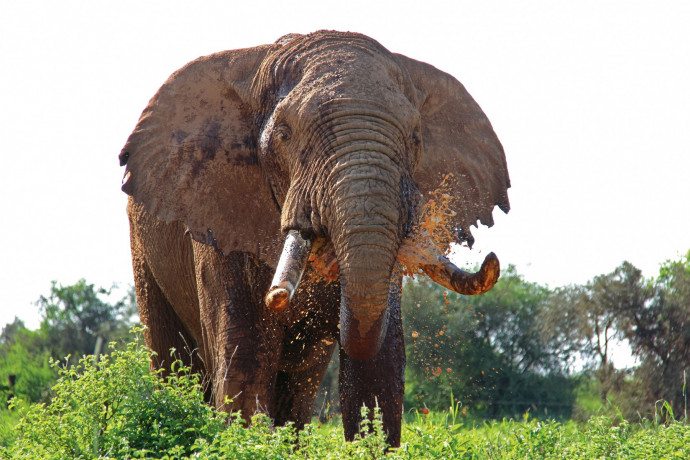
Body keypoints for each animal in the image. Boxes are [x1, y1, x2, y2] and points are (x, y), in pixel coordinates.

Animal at [118, 30, 508, 448]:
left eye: (416, 138)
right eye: (285, 135)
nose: (491, 260)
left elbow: (379, 369)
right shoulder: (219, 220)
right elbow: (246, 359)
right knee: (176, 367)